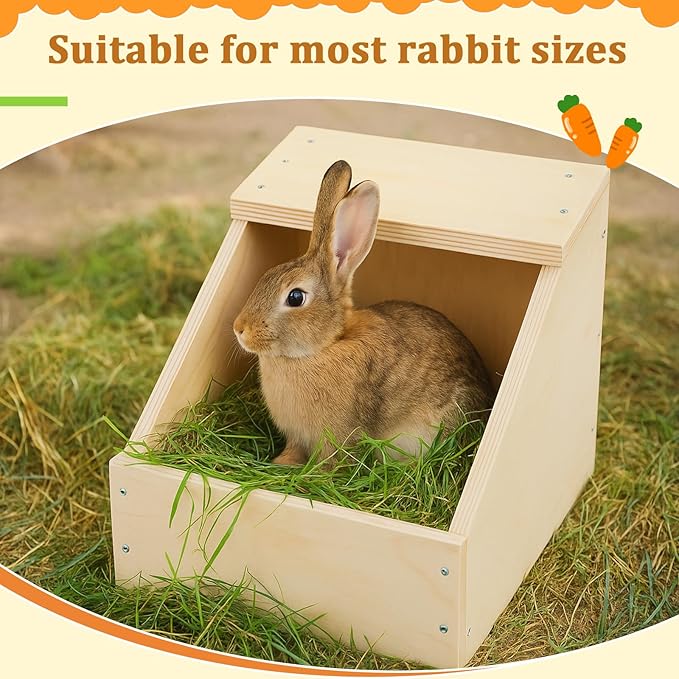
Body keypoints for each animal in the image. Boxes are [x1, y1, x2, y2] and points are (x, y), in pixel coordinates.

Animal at [233, 160, 494, 465]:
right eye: (265, 276)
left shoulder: (337, 438)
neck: (323, 347)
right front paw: (280, 464)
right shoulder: (297, 437)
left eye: (295, 297)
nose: (240, 329)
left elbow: (332, 462)